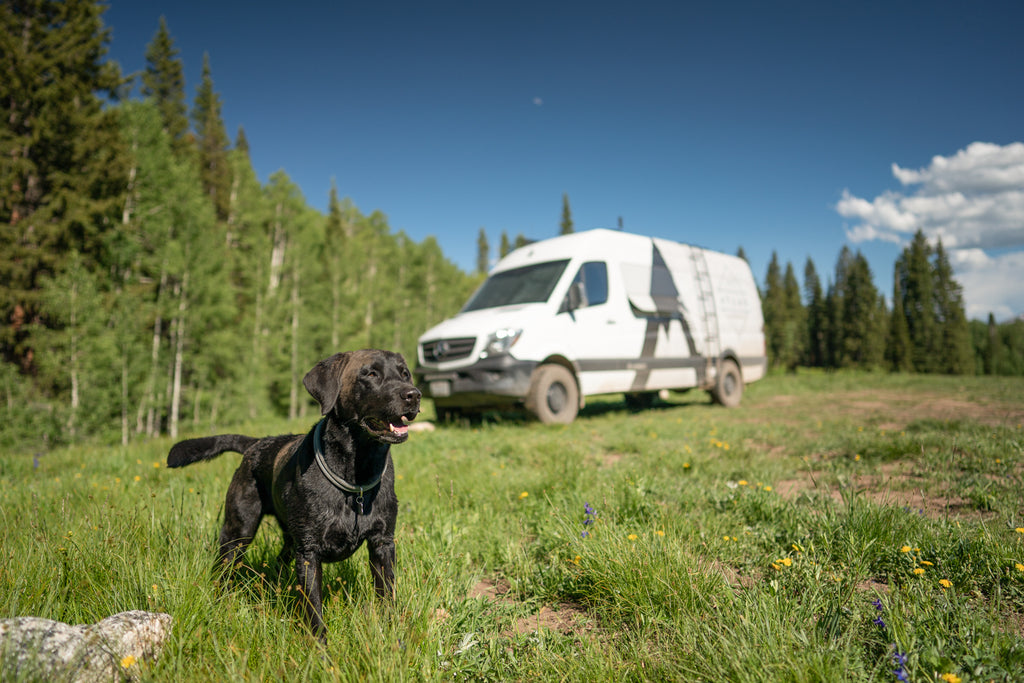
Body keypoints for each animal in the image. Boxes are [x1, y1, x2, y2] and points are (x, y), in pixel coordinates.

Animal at [166, 352, 419, 643]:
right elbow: (314, 606)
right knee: (225, 566)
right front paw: (320, 646)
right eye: (371, 374)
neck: (356, 476)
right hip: (238, 530)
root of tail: (256, 443)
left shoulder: (383, 542)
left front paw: (392, 634)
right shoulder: (309, 551)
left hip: (287, 537)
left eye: (404, 373)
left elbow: (386, 594)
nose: (414, 394)